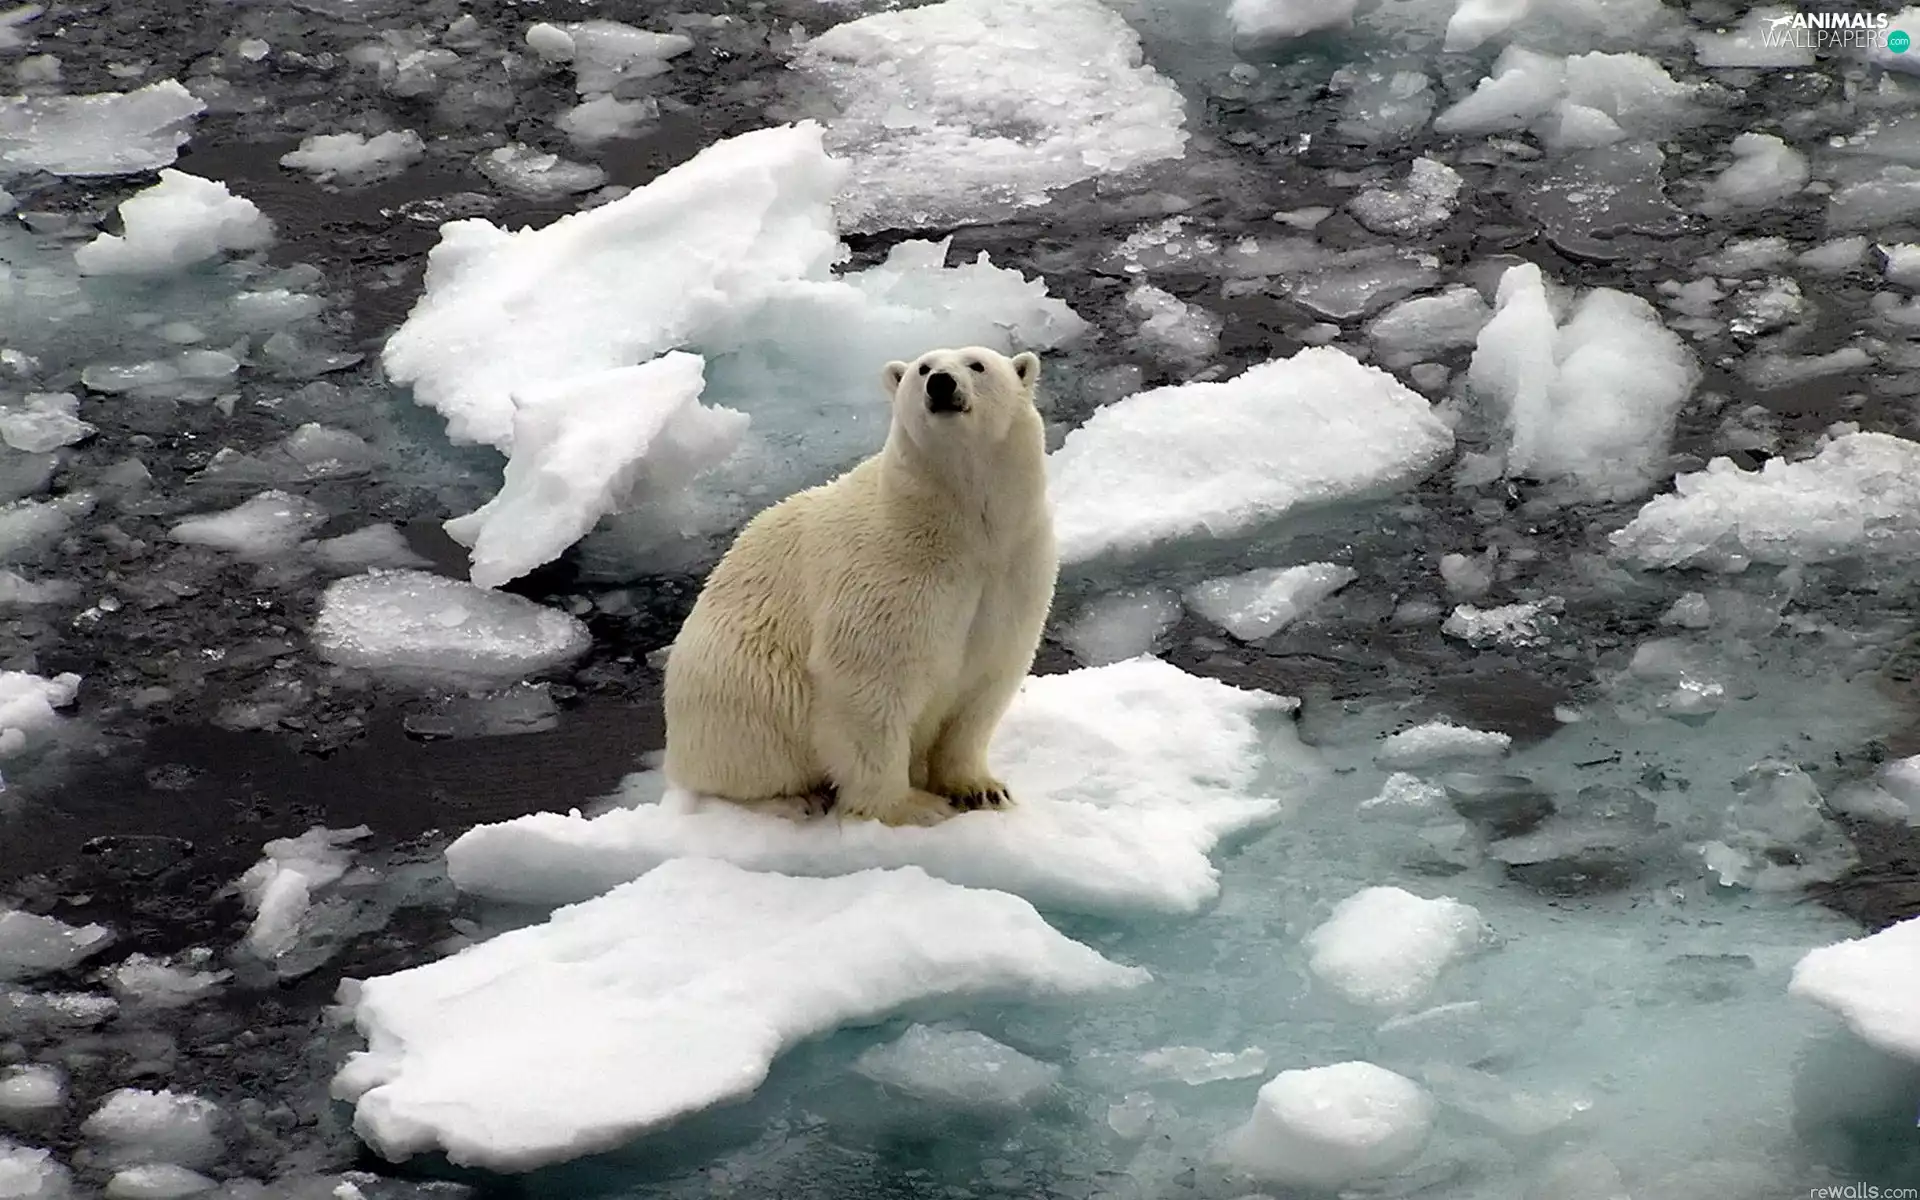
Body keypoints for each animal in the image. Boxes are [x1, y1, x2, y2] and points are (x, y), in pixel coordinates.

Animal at [662, 345, 1057, 827]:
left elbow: (984, 683)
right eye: (923, 367)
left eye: (977, 364)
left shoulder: (1013, 569)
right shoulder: (890, 572)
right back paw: (793, 799)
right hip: (733, 685)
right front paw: (910, 807)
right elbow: (869, 685)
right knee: (746, 752)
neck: (962, 530)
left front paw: (980, 789)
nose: (941, 383)